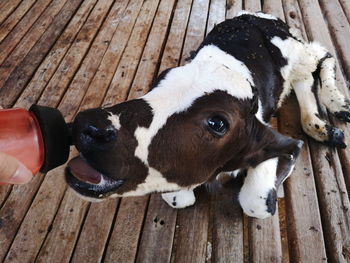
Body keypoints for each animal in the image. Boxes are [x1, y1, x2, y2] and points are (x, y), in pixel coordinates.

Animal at [65, 11, 350, 220]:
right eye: (157, 84)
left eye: (217, 123)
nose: (89, 126)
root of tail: (259, 15)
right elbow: (178, 197)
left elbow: (255, 202)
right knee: (305, 77)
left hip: (295, 50)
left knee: (321, 56)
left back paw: (335, 107)